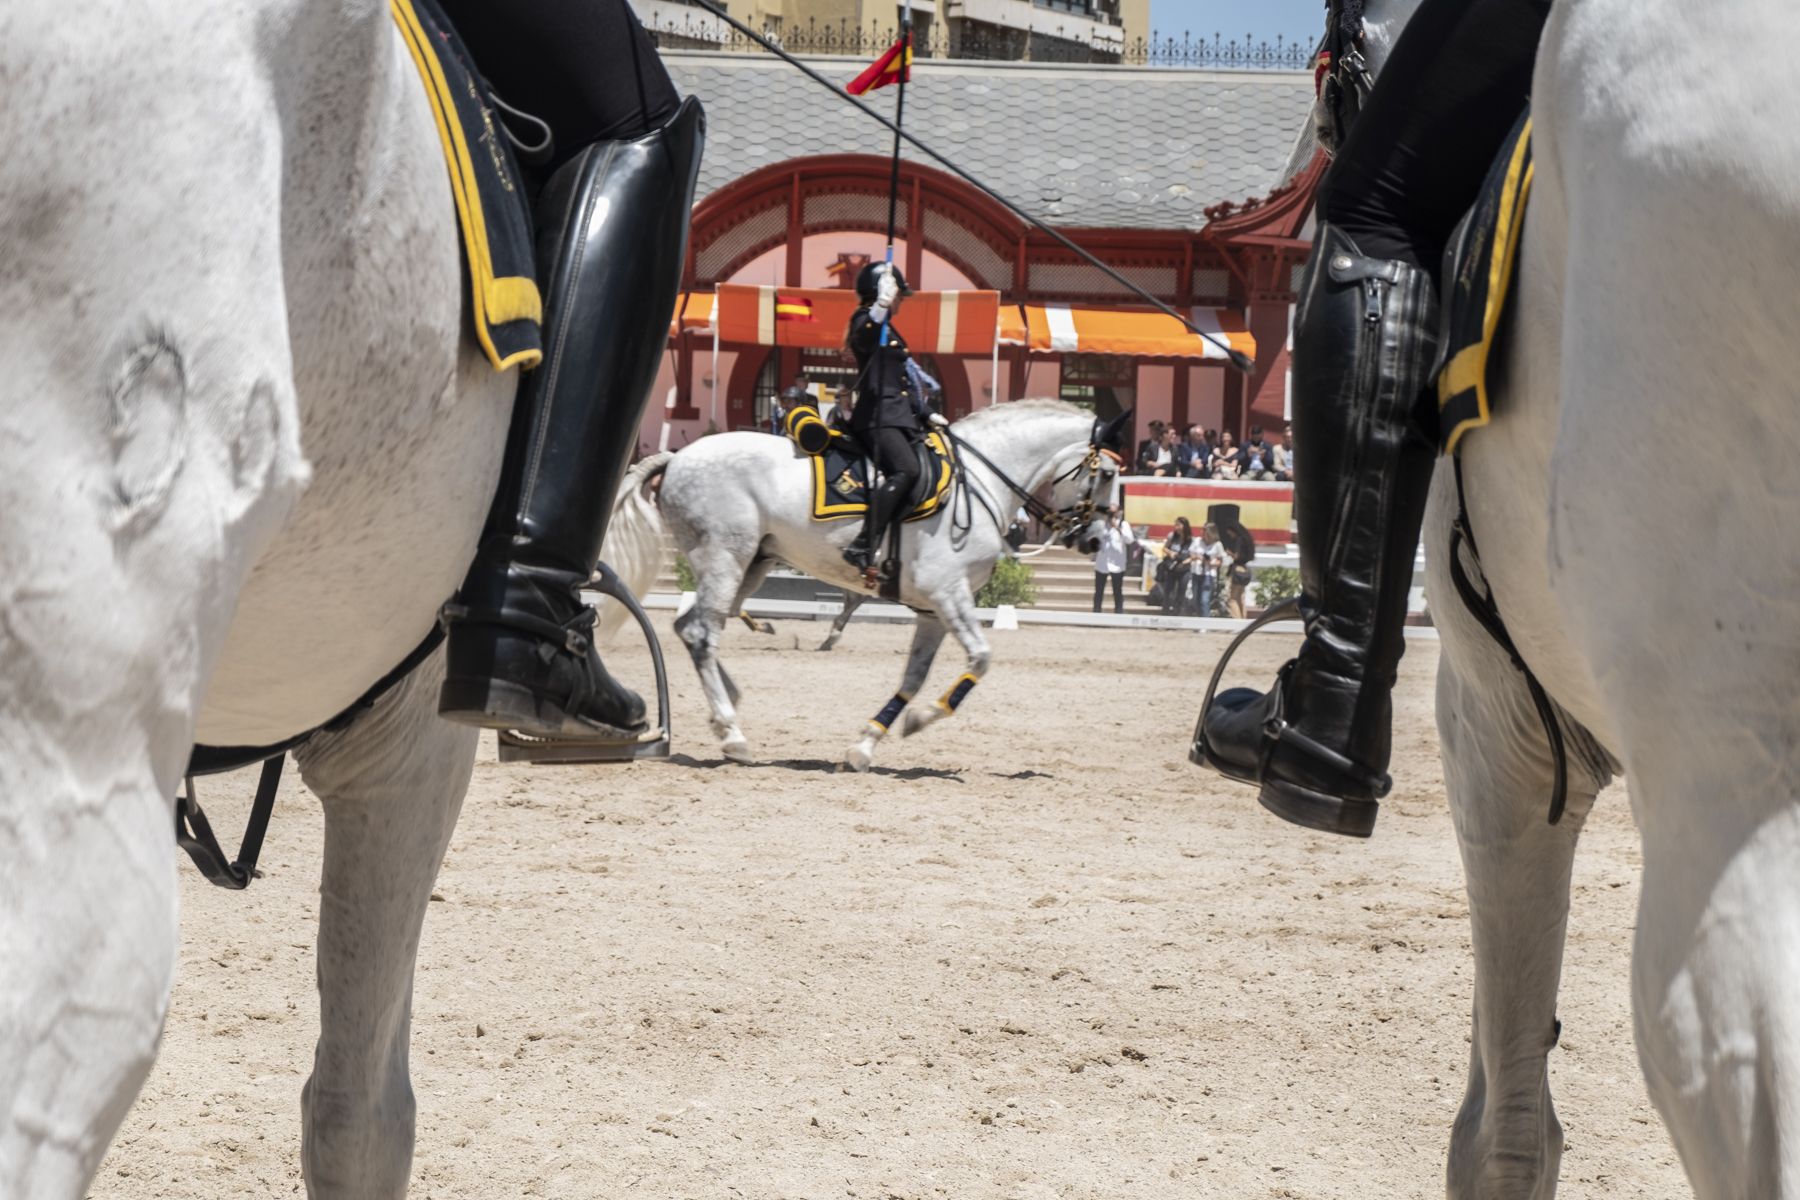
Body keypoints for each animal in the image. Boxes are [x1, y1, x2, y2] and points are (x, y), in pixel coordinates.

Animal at [613, 401, 1118, 770]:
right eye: (1109, 474)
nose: (1095, 539)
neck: (980, 484)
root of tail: (679, 456)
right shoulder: (948, 594)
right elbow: (981, 657)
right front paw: (922, 718)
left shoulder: (934, 610)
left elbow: (913, 677)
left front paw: (867, 744)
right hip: (725, 557)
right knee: (703, 632)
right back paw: (733, 733)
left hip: (751, 563)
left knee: (691, 625)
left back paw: (727, 707)